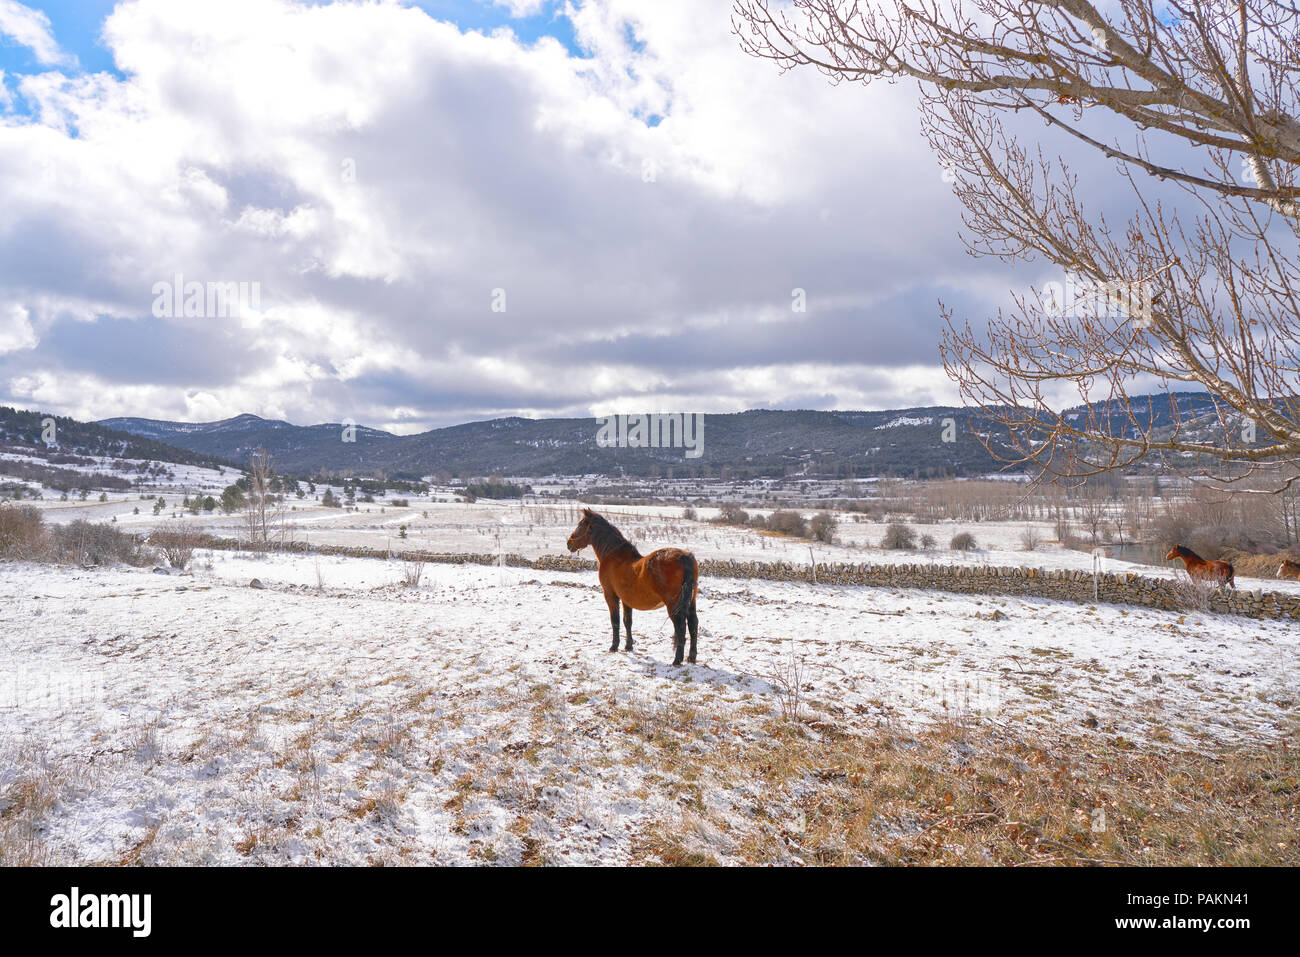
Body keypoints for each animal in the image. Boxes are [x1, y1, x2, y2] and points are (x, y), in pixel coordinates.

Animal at [561, 509, 696, 665]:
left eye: (581, 525)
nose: (569, 543)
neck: (612, 554)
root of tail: (684, 557)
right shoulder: (626, 599)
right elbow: (627, 622)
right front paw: (628, 646)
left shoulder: (610, 595)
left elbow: (615, 620)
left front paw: (614, 646)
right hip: (691, 601)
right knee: (693, 624)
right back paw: (692, 657)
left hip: (673, 604)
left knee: (680, 627)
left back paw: (677, 660)